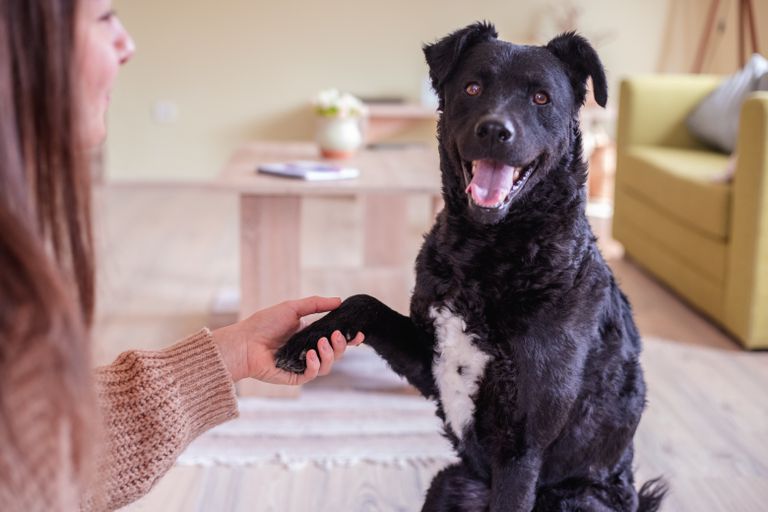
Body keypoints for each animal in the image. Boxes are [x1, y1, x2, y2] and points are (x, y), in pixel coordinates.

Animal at [278, 22, 664, 510]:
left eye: (541, 98)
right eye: (473, 87)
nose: (495, 130)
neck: (485, 259)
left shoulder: (521, 446)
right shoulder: (430, 361)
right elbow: (363, 300)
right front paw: (306, 340)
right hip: (449, 483)